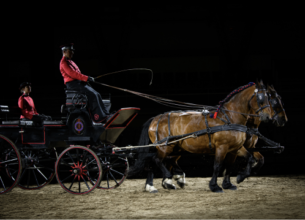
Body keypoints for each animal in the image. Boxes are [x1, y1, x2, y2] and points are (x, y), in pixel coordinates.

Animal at [128, 80, 270, 192]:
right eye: (261, 98)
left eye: (269, 97)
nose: (268, 117)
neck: (229, 118)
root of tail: (155, 118)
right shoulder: (222, 147)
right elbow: (218, 165)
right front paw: (215, 186)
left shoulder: (236, 147)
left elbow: (248, 158)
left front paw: (238, 178)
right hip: (164, 147)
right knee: (156, 160)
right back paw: (165, 179)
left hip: (174, 148)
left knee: (163, 161)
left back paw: (164, 183)